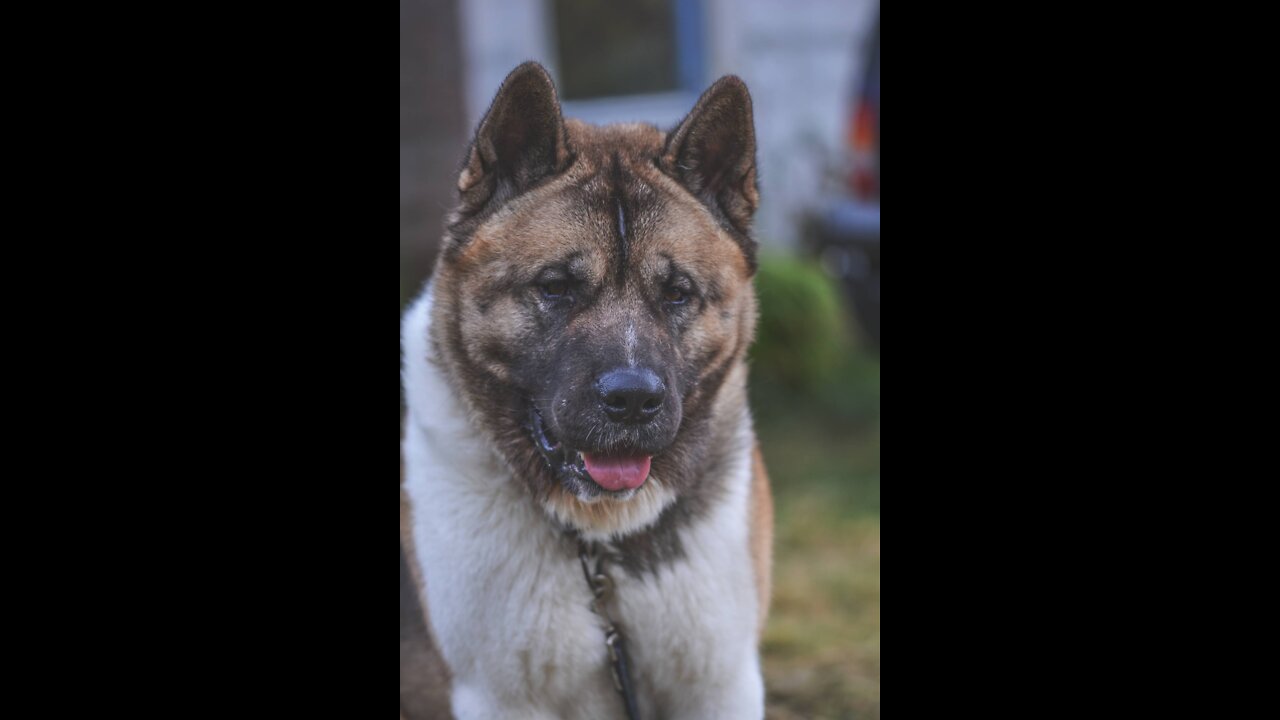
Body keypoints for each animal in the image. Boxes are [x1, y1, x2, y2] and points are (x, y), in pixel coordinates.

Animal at [399, 63, 773, 717]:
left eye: (677, 292)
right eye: (556, 287)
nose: (632, 401)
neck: (601, 544)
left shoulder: (719, 683)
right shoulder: (498, 696)